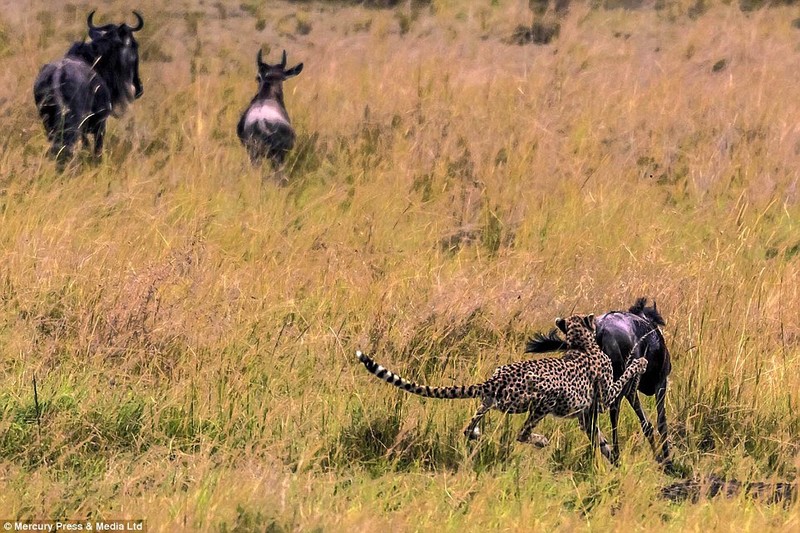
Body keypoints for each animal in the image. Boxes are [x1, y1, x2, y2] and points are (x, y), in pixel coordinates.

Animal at [360, 314, 648, 460]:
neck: (581, 342)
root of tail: (496, 378)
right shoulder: (604, 398)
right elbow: (624, 377)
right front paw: (640, 362)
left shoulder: (585, 415)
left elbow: (598, 437)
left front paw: (612, 457)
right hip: (542, 400)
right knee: (522, 433)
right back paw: (540, 440)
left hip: (492, 399)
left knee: (470, 424)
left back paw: (476, 433)